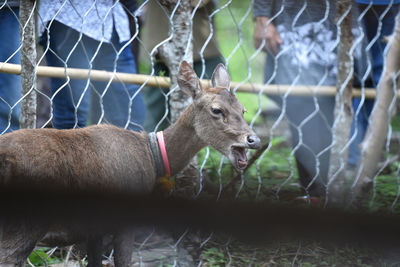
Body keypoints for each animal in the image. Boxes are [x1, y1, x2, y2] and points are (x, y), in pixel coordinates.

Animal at [0, 61, 260, 266]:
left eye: (243, 109)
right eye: (217, 110)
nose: (254, 139)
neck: (153, 157)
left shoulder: (94, 229)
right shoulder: (124, 220)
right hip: (23, 226)